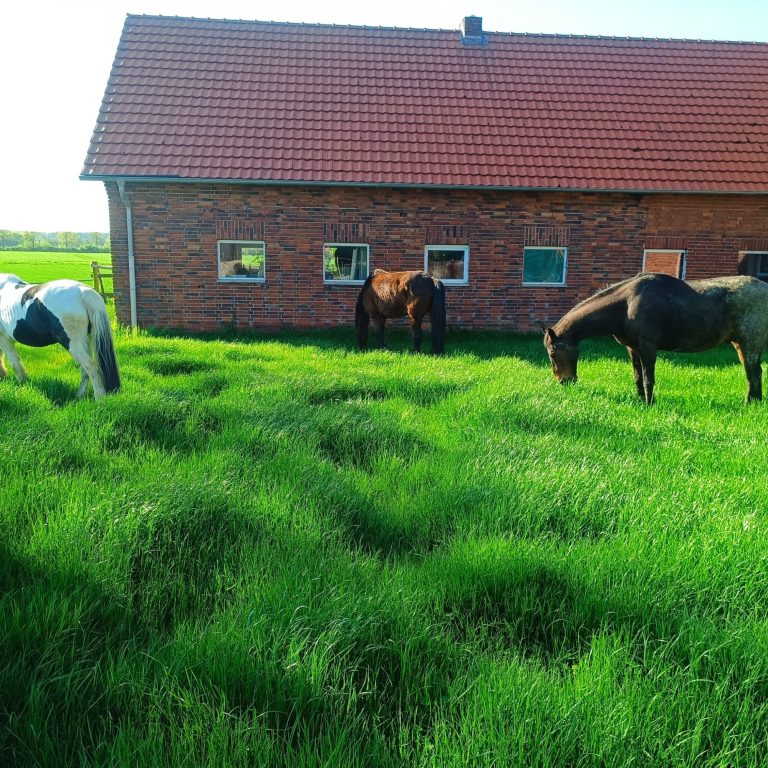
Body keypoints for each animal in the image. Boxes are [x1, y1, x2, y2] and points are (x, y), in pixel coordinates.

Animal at [543, 272, 768, 405]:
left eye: (553, 353)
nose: (565, 381)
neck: (626, 304)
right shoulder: (632, 348)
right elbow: (637, 376)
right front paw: (641, 401)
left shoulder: (648, 347)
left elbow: (648, 378)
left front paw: (650, 403)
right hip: (740, 344)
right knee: (754, 374)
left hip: (749, 344)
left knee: (753, 374)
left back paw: (749, 403)